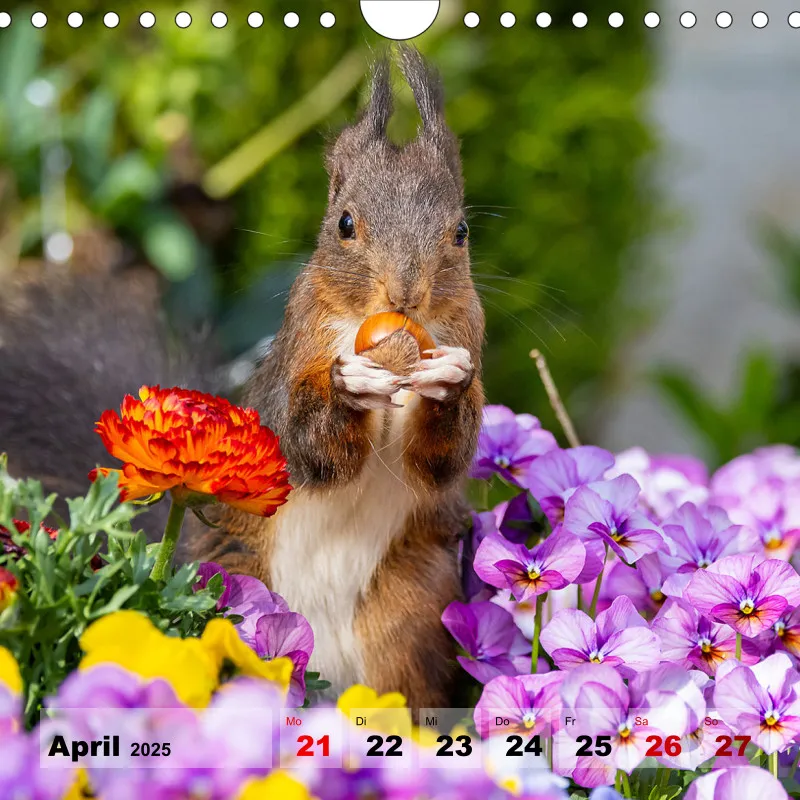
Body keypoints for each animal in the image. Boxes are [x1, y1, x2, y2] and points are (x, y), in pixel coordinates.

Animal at [191, 48, 485, 708]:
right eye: (345, 223)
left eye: (461, 232)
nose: (404, 295)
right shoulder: (297, 355)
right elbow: (312, 449)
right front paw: (349, 388)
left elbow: (439, 460)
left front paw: (449, 382)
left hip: (407, 617)